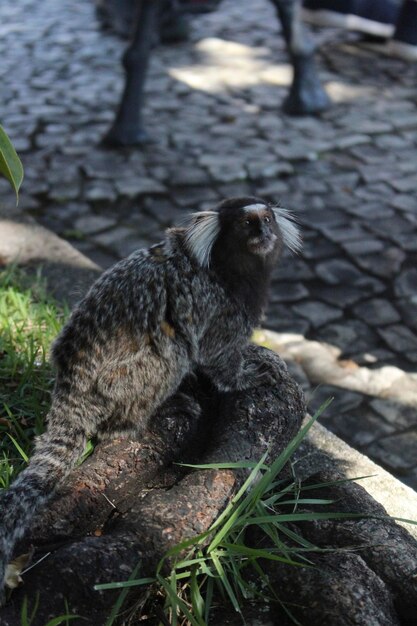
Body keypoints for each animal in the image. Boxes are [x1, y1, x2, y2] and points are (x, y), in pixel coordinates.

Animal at [0, 195, 300, 596]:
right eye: (245, 225)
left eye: (266, 219)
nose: (263, 232)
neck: (227, 267)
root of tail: (72, 384)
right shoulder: (219, 306)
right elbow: (216, 355)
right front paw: (246, 376)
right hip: (118, 381)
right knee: (171, 350)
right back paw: (150, 414)